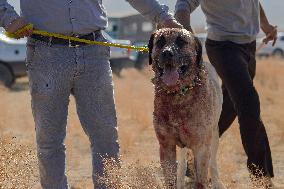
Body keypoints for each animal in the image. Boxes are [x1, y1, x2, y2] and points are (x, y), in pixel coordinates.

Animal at [149, 28, 226, 189]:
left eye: (181, 41)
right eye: (160, 41)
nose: (167, 53)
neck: (178, 95)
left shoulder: (202, 146)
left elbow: (201, 180)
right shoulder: (166, 145)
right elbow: (171, 178)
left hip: (214, 136)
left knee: (213, 163)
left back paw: (217, 182)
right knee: (183, 163)